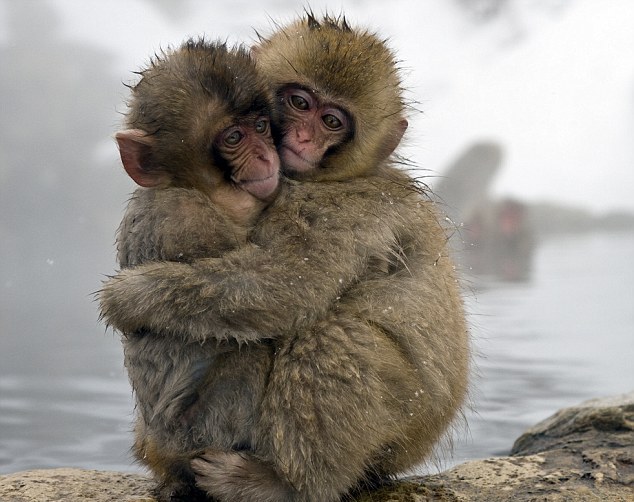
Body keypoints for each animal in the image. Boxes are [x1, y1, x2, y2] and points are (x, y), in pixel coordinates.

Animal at [108, 39, 278, 502]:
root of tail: (157, 452)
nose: (266, 154)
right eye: (234, 138)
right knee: (249, 354)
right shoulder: (185, 220)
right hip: (194, 432)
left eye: (261, 126)